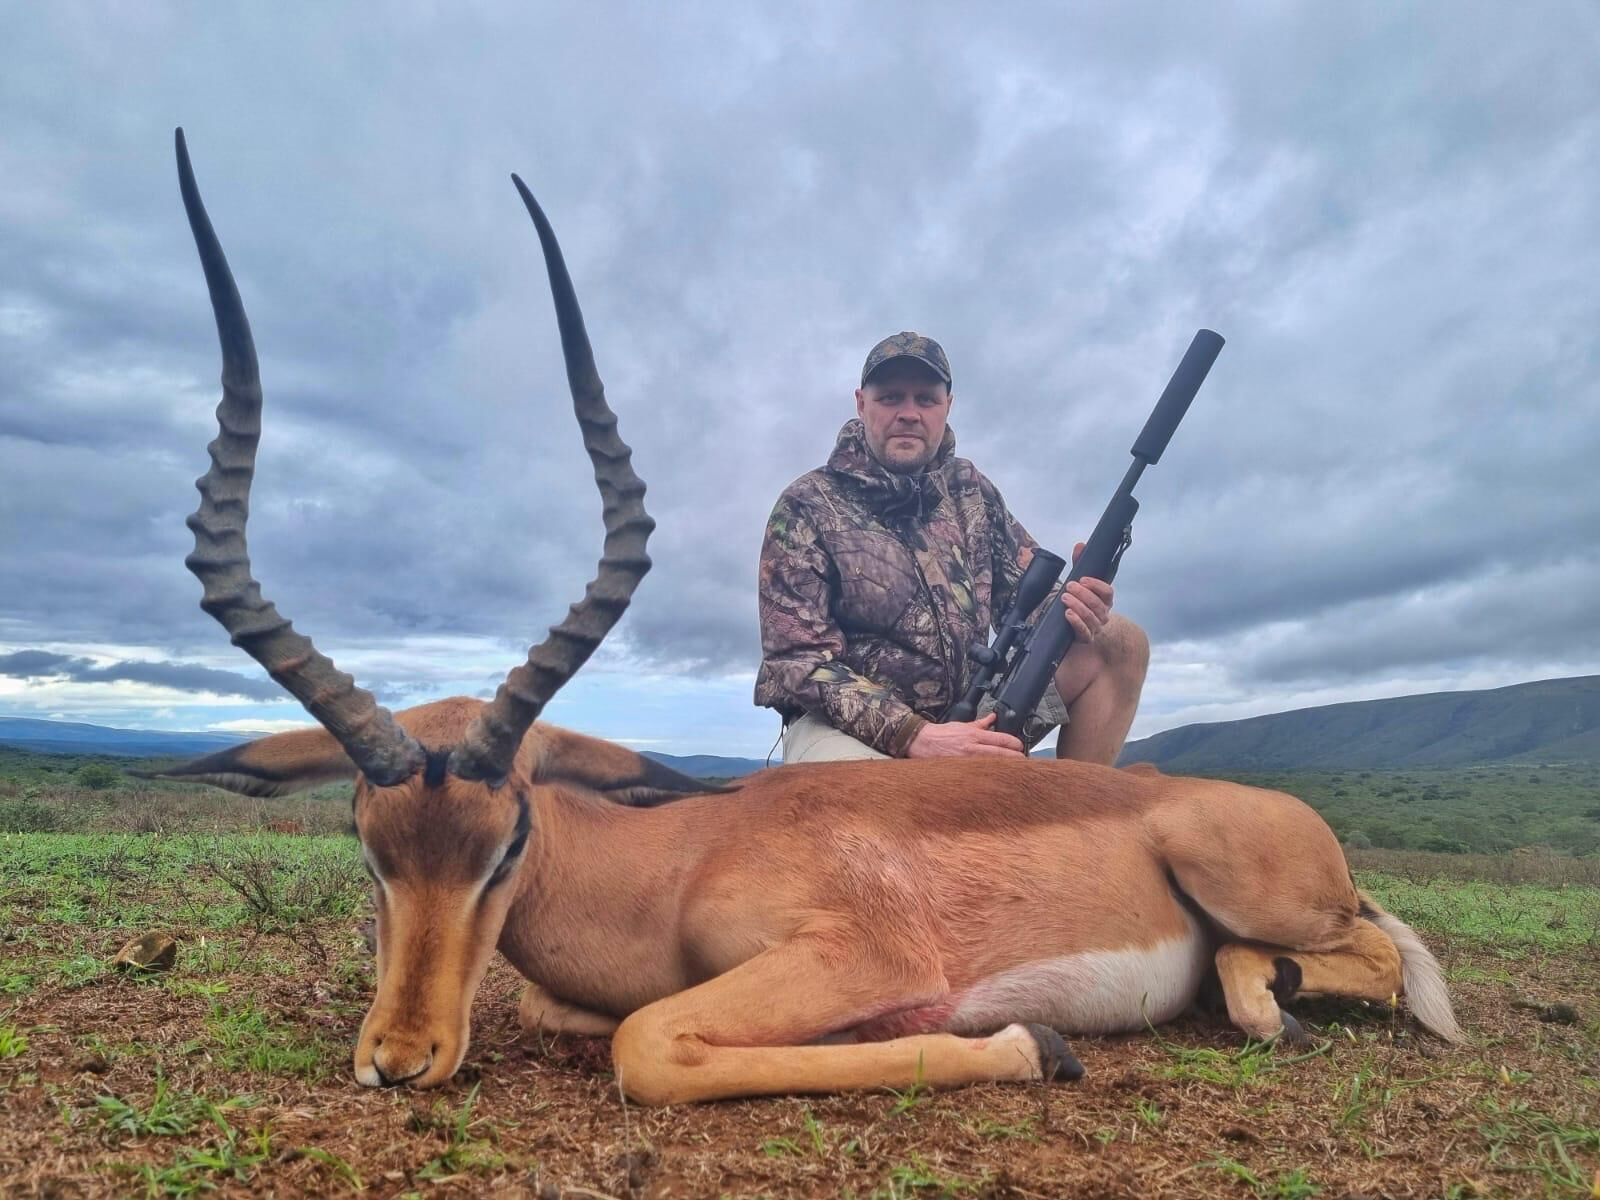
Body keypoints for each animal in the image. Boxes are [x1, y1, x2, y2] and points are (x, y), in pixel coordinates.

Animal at [156, 128, 1462, 1104]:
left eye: (509, 838)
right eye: (367, 844)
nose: (399, 1057)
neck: (675, 861)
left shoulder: (859, 951)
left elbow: (647, 1042)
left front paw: (1032, 1043)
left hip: (1250, 879)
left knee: (1381, 956)